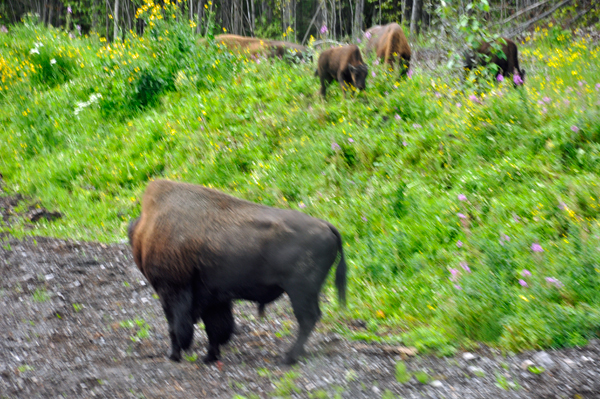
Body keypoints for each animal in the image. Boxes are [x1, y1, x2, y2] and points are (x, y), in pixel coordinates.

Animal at [129, 180, 350, 366]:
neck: (147, 229)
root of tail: (326, 227)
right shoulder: (213, 298)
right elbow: (216, 328)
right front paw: (209, 357)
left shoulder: (172, 292)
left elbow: (176, 326)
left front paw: (175, 355)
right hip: (305, 293)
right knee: (311, 318)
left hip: (299, 292)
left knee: (307, 319)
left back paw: (288, 357)